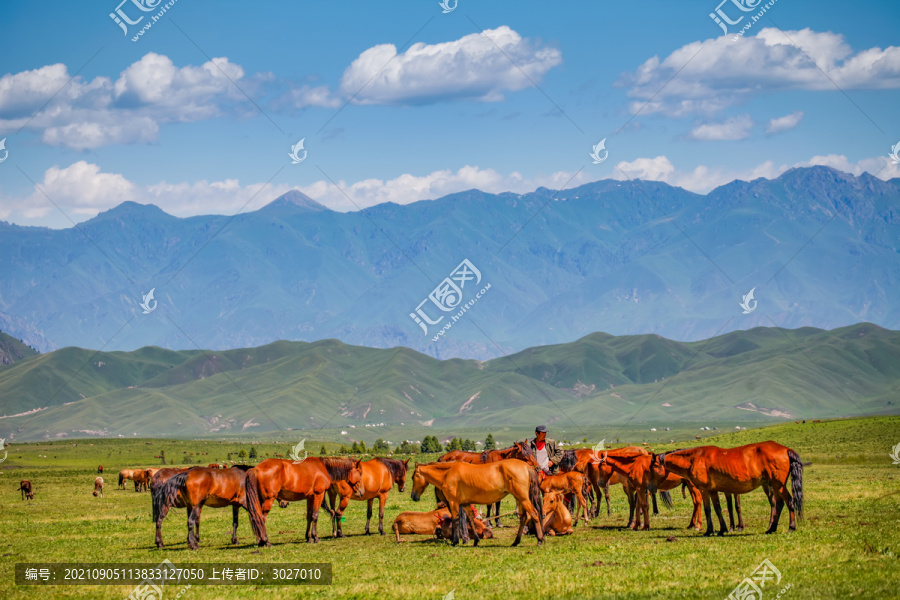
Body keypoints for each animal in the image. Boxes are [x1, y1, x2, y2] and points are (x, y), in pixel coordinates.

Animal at [412, 460, 544, 548]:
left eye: (413, 477)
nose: (413, 496)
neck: (448, 473)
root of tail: (527, 466)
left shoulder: (453, 502)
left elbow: (455, 520)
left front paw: (455, 541)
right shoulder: (465, 504)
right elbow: (470, 520)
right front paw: (475, 541)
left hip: (523, 499)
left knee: (534, 514)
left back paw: (540, 540)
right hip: (519, 499)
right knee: (523, 518)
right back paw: (516, 542)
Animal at [652, 440, 804, 536]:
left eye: (652, 467)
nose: (651, 488)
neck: (694, 458)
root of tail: (786, 449)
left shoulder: (704, 490)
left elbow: (708, 510)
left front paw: (709, 531)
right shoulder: (713, 490)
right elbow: (718, 509)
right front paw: (722, 529)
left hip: (778, 485)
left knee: (789, 501)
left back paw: (791, 527)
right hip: (774, 485)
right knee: (779, 504)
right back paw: (771, 529)